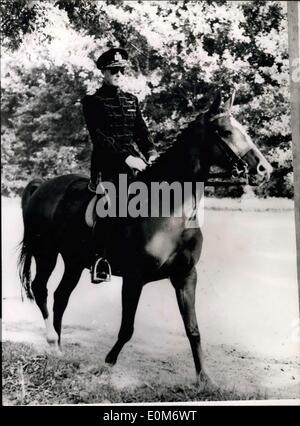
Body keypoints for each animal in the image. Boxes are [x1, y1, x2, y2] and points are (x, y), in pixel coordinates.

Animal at [18, 92, 272, 390]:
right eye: (225, 132)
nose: (264, 169)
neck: (171, 210)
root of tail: (43, 186)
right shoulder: (134, 277)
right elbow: (127, 328)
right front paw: (106, 365)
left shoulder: (186, 276)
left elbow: (193, 330)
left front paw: (205, 379)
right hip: (45, 252)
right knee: (41, 289)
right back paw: (50, 341)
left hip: (74, 261)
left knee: (61, 296)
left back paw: (59, 348)